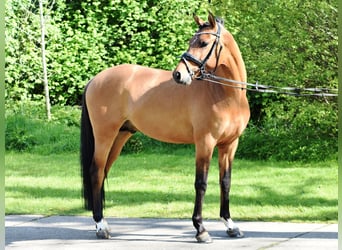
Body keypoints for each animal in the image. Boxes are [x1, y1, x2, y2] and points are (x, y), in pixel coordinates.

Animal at [81, 12, 250, 243]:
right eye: (191, 41)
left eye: (203, 43)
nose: (178, 75)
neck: (225, 95)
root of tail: (94, 80)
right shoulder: (205, 143)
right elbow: (201, 183)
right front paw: (201, 229)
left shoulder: (230, 145)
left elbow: (225, 182)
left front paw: (230, 225)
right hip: (105, 136)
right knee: (96, 172)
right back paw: (100, 226)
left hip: (120, 136)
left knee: (103, 171)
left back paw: (101, 222)